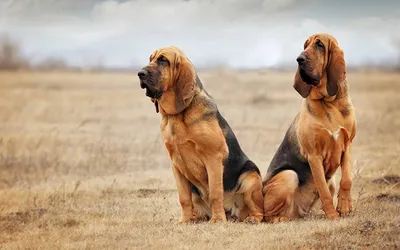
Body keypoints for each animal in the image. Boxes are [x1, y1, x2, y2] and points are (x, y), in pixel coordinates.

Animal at [139, 47, 264, 225]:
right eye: (151, 58)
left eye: (164, 60)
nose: (140, 73)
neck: (177, 115)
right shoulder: (176, 165)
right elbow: (183, 198)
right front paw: (184, 221)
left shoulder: (213, 158)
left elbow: (215, 193)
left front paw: (217, 220)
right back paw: (195, 218)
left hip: (250, 177)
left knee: (258, 210)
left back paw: (250, 218)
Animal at [262, 33, 356, 223]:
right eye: (305, 45)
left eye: (320, 45)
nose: (299, 59)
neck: (329, 103)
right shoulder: (314, 155)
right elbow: (323, 190)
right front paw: (333, 216)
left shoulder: (347, 145)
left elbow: (346, 180)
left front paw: (344, 206)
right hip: (288, 176)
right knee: (268, 216)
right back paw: (281, 219)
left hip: (330, 181)